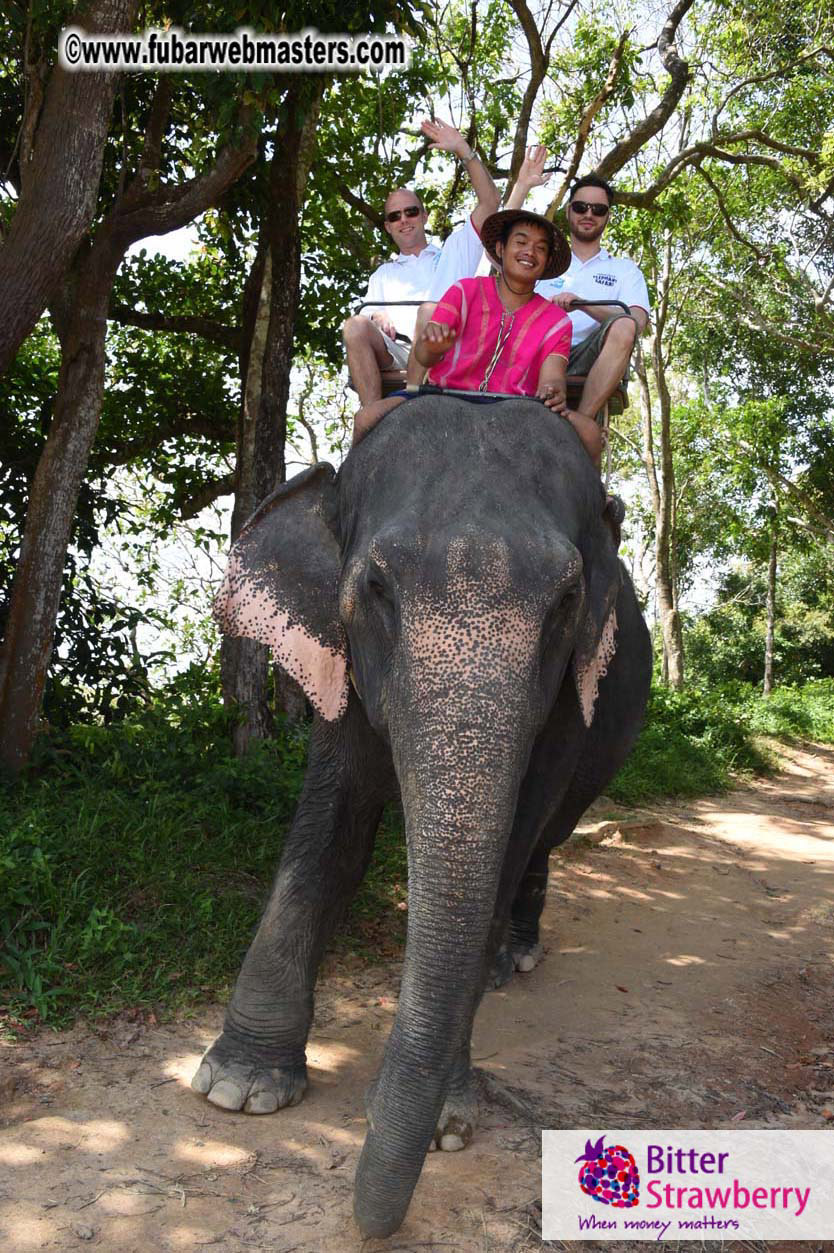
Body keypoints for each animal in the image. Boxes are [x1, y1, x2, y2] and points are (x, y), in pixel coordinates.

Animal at [191, 395, 652, 1238]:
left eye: (568, 601)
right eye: (375, 585)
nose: (368, 1222)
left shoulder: (565, 702)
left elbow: (506, 843)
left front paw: (445, 1124)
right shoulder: (340, 660)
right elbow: (330, 827)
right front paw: (238, 1087)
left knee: (545, 840)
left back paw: (512, 957)